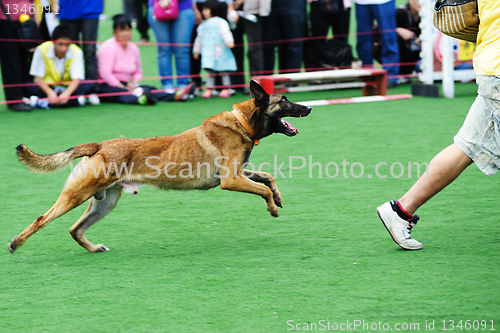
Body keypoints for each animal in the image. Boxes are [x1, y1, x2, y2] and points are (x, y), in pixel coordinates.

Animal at [9, 80, 310, 252]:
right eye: (283, 101)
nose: (308, 108)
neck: (241, 122)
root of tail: (100, 145)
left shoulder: (238, 173)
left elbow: (267, 177)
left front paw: (278, 199)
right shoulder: (231, 181)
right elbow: (264, 189)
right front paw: (272, 208)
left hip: (104, 202)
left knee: (75, 229)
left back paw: (93, 249)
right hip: (77, 195)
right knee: (42, 219)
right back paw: (15, 243)